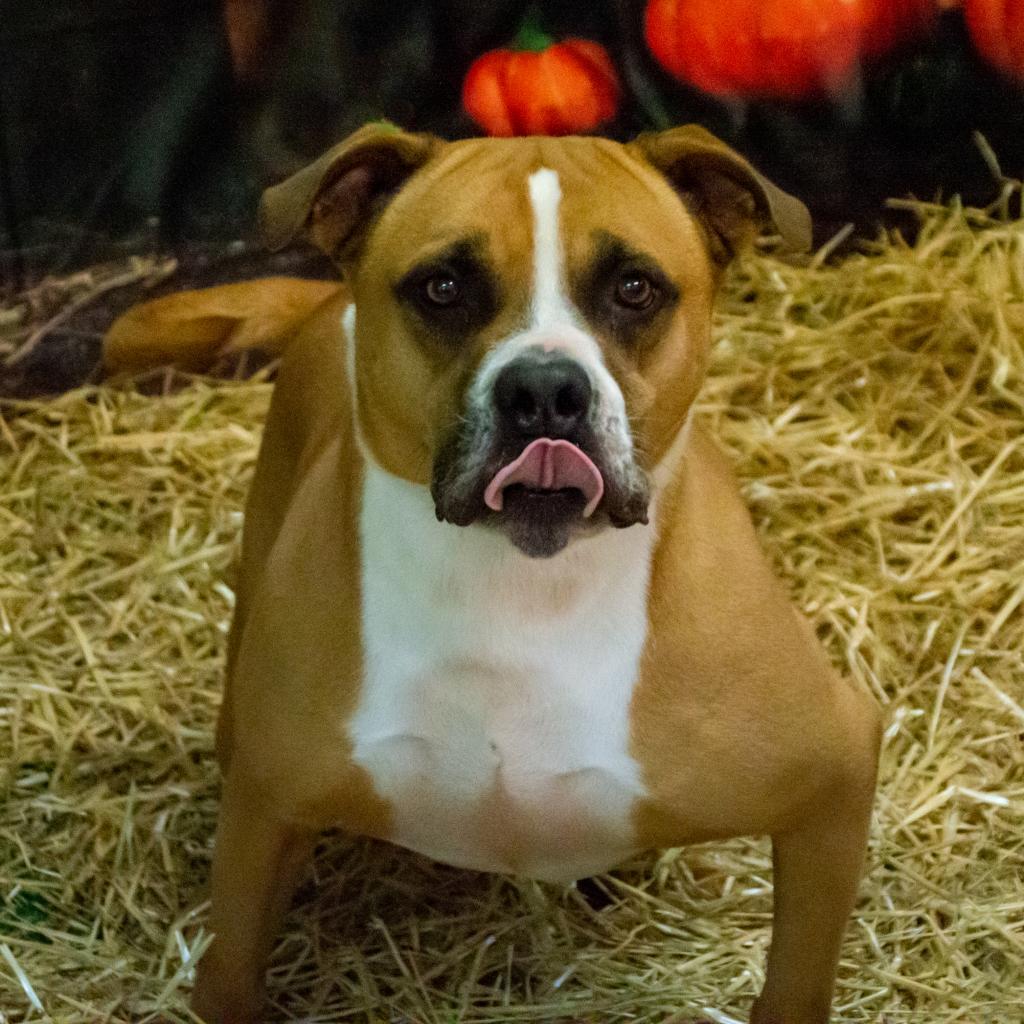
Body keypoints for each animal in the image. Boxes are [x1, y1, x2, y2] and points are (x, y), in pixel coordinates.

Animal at [112, 123, 884, 1019]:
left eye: (634, 288)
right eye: (443, 287)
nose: (546, 390)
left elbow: (795, 983)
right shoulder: (264, 814)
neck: (525, 592)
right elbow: (230, 974)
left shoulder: (835, 772)